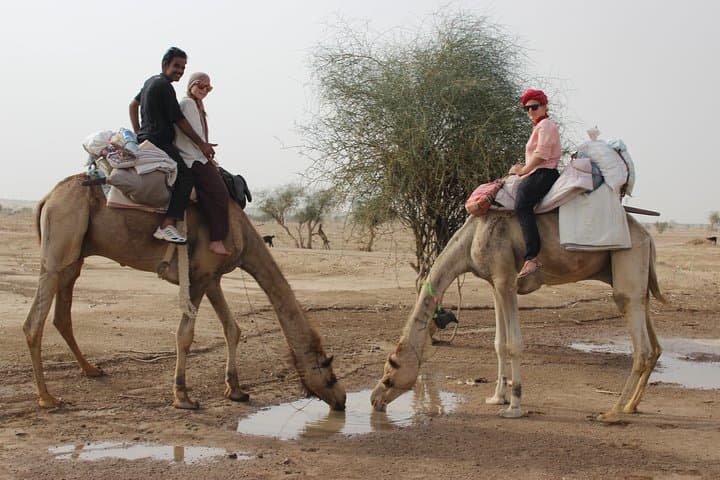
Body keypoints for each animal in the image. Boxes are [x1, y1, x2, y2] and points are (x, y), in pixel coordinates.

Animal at [23, 174, 346, 411]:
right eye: (330, 375)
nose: (342, 401)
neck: (243, 234)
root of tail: (47, 198)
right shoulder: (199, 276)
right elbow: (185, 335)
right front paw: (183, 397)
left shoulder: (212, 278)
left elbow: (233, 328)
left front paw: (236, 390)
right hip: (58, 249)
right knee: (33, 323)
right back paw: (47, 398)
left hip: (75, 257)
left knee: (61, 315)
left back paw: (91, 370)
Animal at [371, 210, 665, 421]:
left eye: (390, 370)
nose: (375, 400)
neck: (470, 238)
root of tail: (647, 236)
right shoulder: (493, 283)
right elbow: (499, 344)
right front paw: (496, 398)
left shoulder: (505, 279)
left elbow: (514, 344)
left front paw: (514, 406)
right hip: (635, 278)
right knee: (654, 342)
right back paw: (631, 406)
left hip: (627, 262)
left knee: (641, 346)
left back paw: (612, 412)